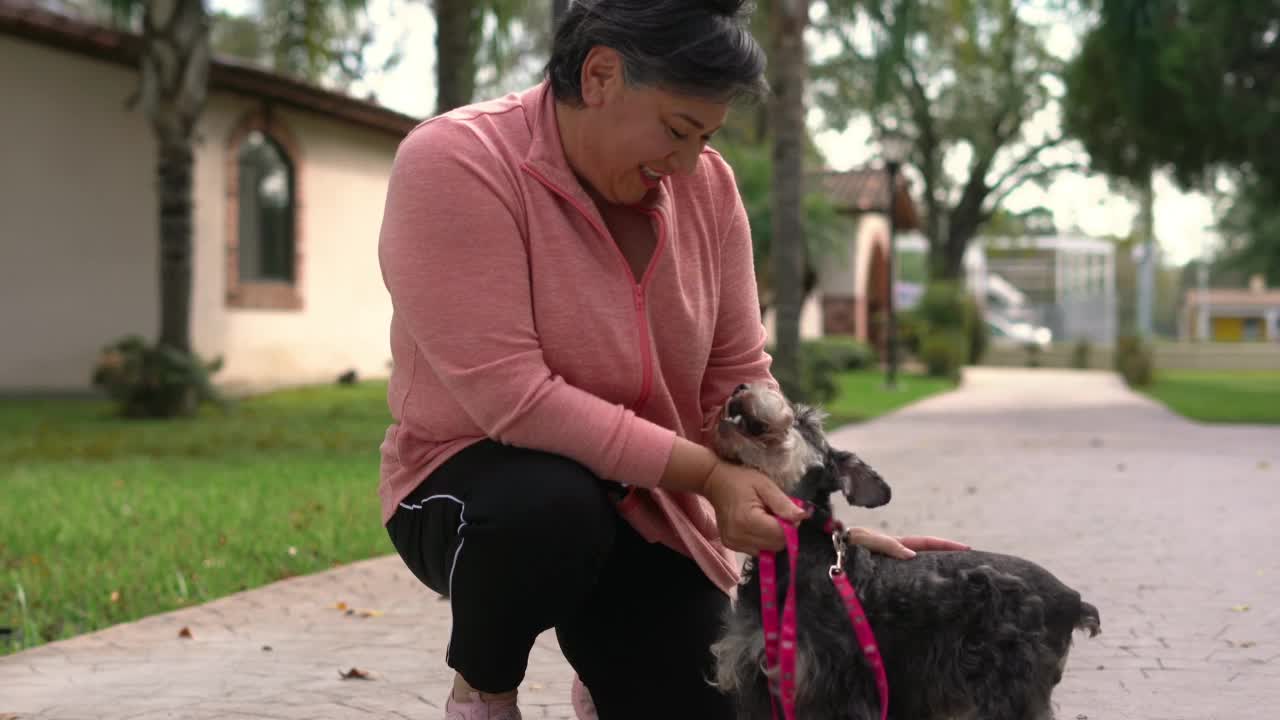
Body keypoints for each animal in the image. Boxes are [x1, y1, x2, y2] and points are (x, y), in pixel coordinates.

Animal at [711, 381, 1100, 717]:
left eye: (805, 421)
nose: (740, 386)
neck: (794, 558)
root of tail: (1070, 598)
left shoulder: (838, 690)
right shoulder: (758, 685)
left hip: (1009, 692)